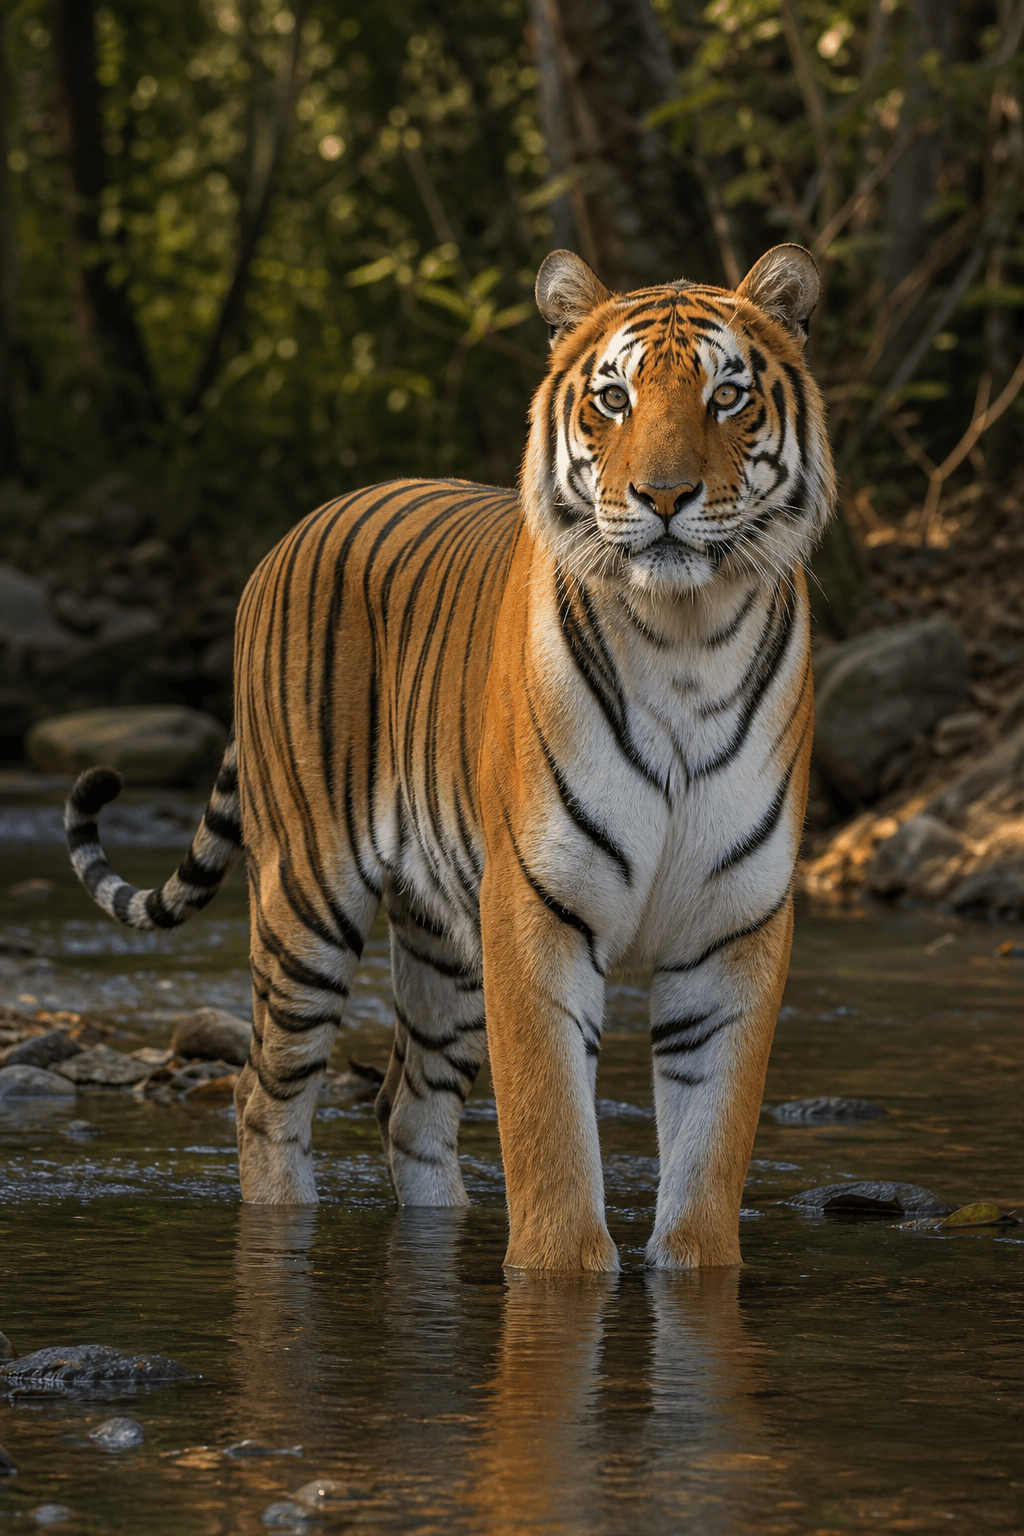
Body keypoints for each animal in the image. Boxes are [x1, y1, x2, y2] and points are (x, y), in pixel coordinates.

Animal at [65, 243, 835, 1272]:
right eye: (614, 399)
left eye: (727, 397)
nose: (665, 498)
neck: (684, 638)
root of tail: (300, 525)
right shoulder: (536, 908)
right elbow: (552, 1143)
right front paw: (560, 1275)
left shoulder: (732, 927)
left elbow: (708, 1162)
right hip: (305, 900)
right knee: (265, 1098)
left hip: (445, 941)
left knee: (409, 1108)